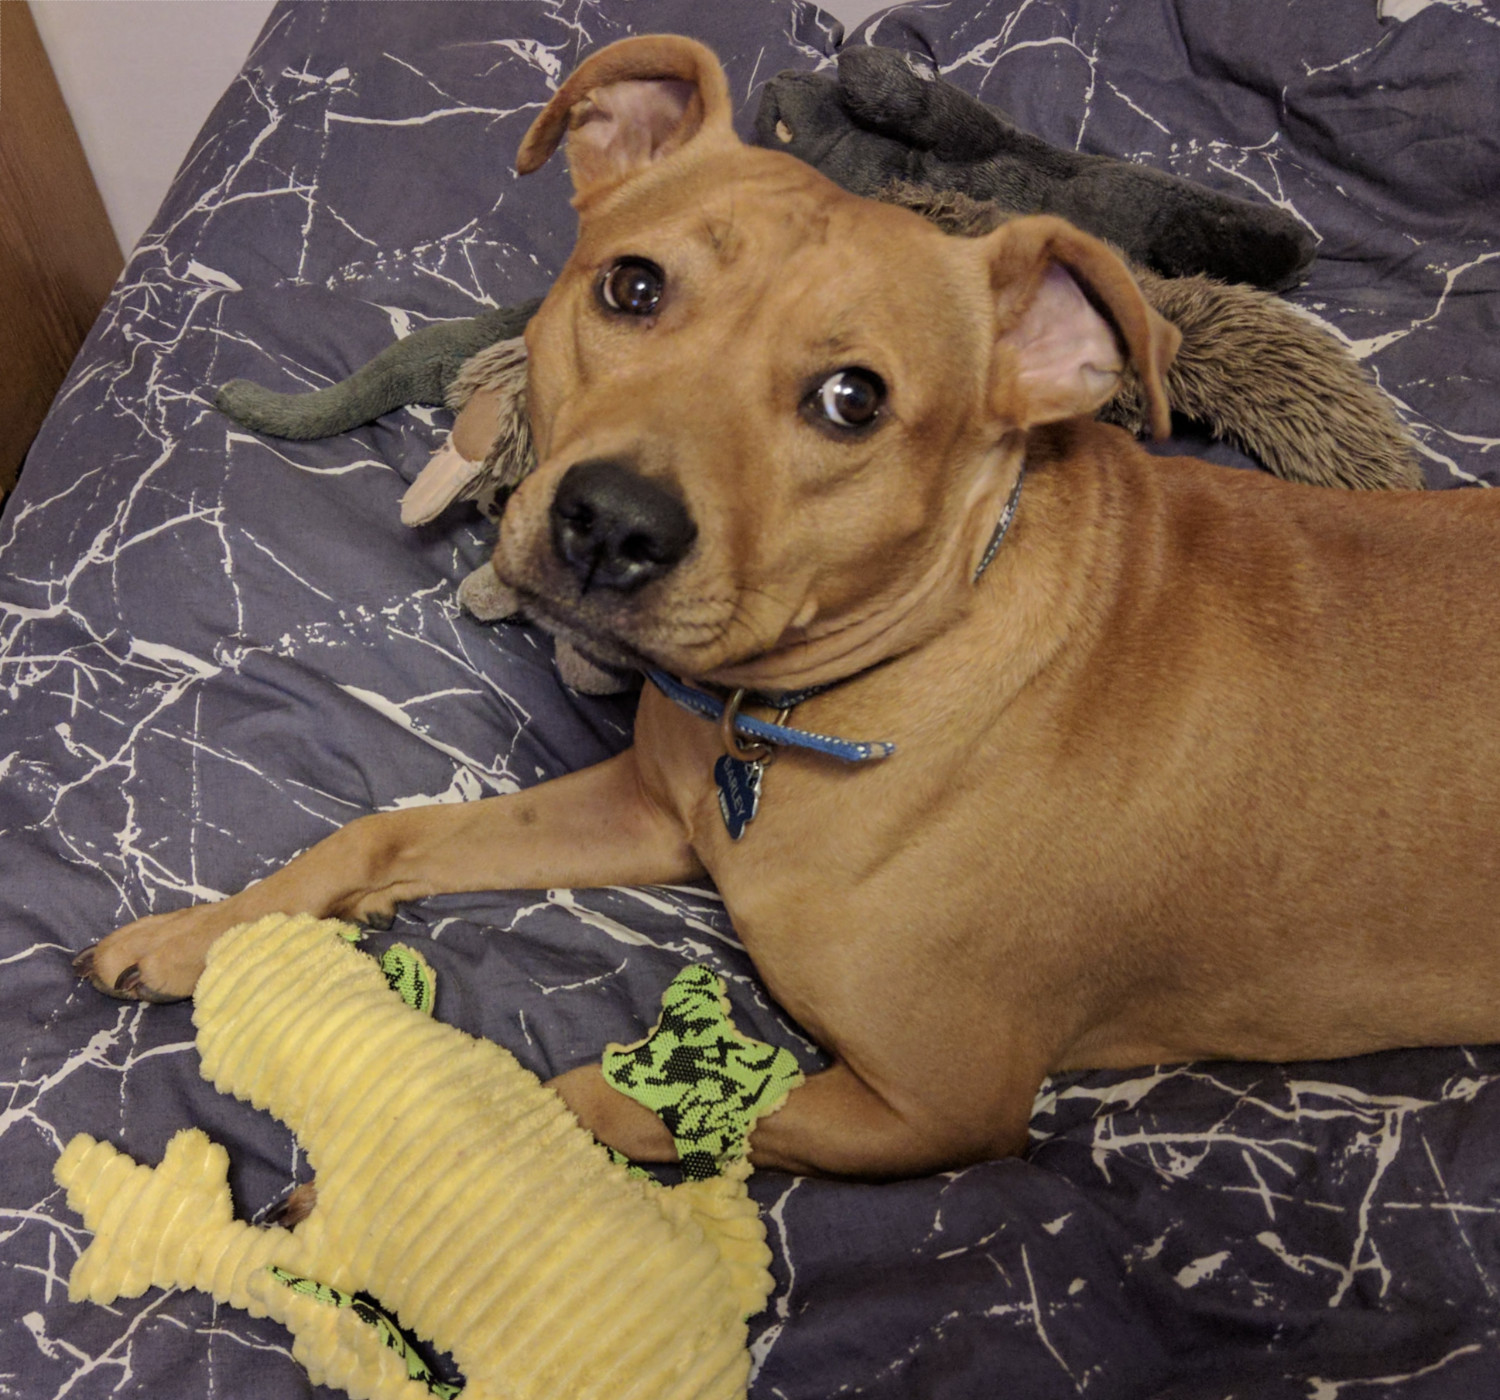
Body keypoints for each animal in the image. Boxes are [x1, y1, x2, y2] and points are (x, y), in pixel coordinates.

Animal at [79, 35, 1500, 1182]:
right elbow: (379, 833)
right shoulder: (647, 806)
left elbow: (597, 1093)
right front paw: (200, 934)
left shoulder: (938, 1106)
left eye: (852, 400)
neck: (824, 702)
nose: (611, 524)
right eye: (632, 287)